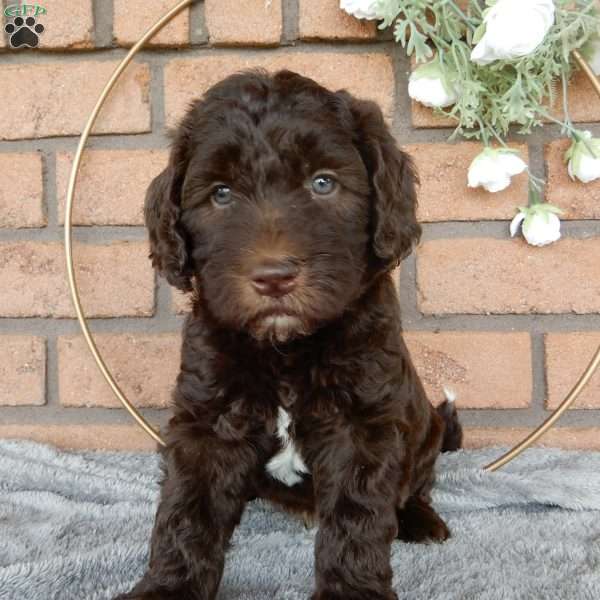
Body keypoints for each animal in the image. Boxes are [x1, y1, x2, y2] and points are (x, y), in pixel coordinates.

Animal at [118, 70, 464, 600]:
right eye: (221, 193)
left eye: (323, 183)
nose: (274, 278)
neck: (285, 347)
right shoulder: (207, 420)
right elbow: (186, 510)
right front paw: (168, 588)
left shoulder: (363, 421)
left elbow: (358, 514)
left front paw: (352, 592)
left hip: (425, 428)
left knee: (417, 484)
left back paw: (422, 522)